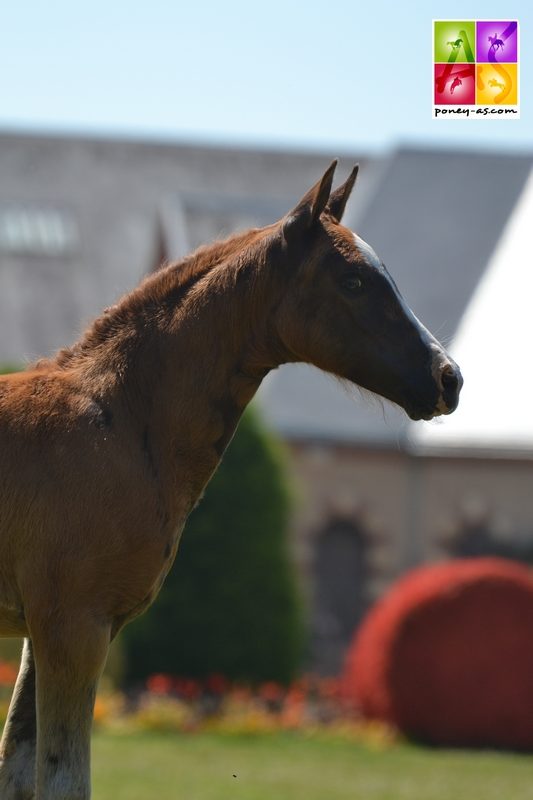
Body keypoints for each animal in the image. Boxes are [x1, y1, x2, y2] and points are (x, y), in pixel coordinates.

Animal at [0, 162, 460, 792]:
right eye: (354, 281)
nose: (449, 378)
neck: (117, 421)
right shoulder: (73, 625)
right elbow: (64, 779)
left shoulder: (43, 632)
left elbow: (19, 765)